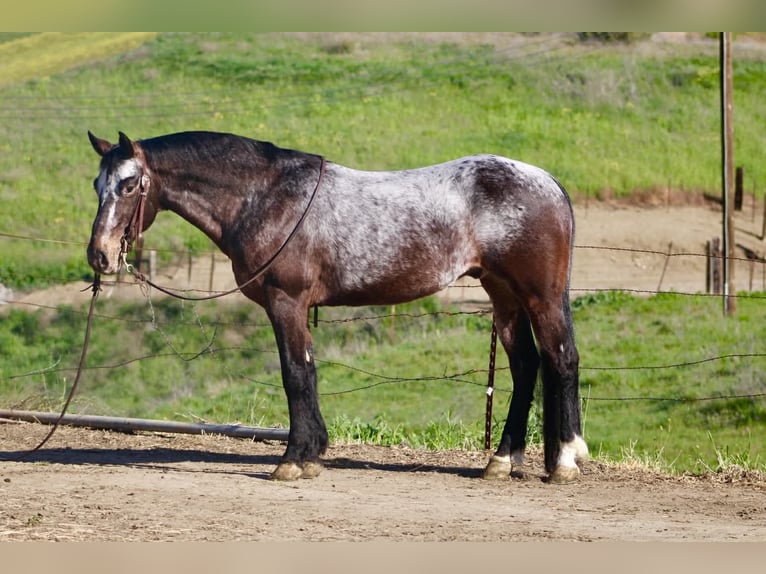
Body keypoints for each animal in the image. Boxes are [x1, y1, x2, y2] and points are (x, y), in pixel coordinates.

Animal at [86, 130, 588, 483]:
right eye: (97, 184)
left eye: (129, 186)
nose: (100, 256)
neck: (267, 197)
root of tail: (549, 182)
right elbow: (307, 371)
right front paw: (312, 455)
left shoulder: (286, 302)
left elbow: (295, 373)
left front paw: (293, 460)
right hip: (503, 297)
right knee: (526, 366)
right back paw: (502, 461)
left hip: (539, 297)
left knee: (561, 359)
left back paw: (564, 460)